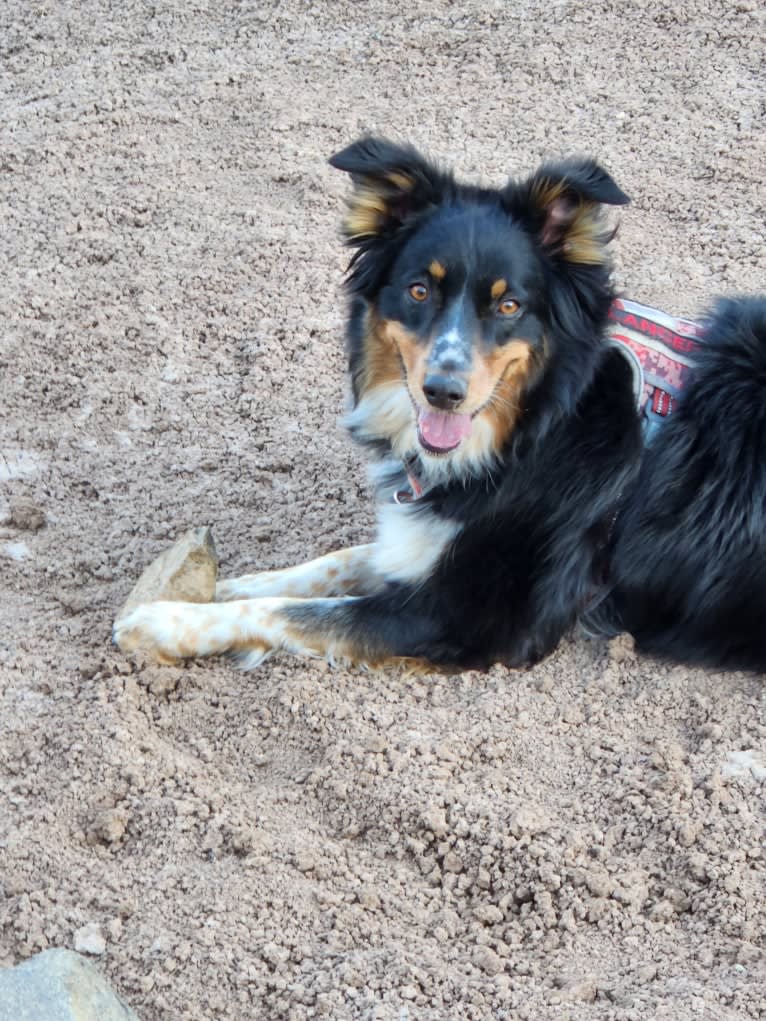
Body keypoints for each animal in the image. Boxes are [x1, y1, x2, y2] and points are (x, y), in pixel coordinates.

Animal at [113, 137, 766, 677]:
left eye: (509, 305)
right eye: (419, 290)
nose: (443, 391)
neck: (539, 428)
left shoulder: (475, 619)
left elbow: (299, 612)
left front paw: (163, 622)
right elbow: (337, 562)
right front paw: (222, 586)